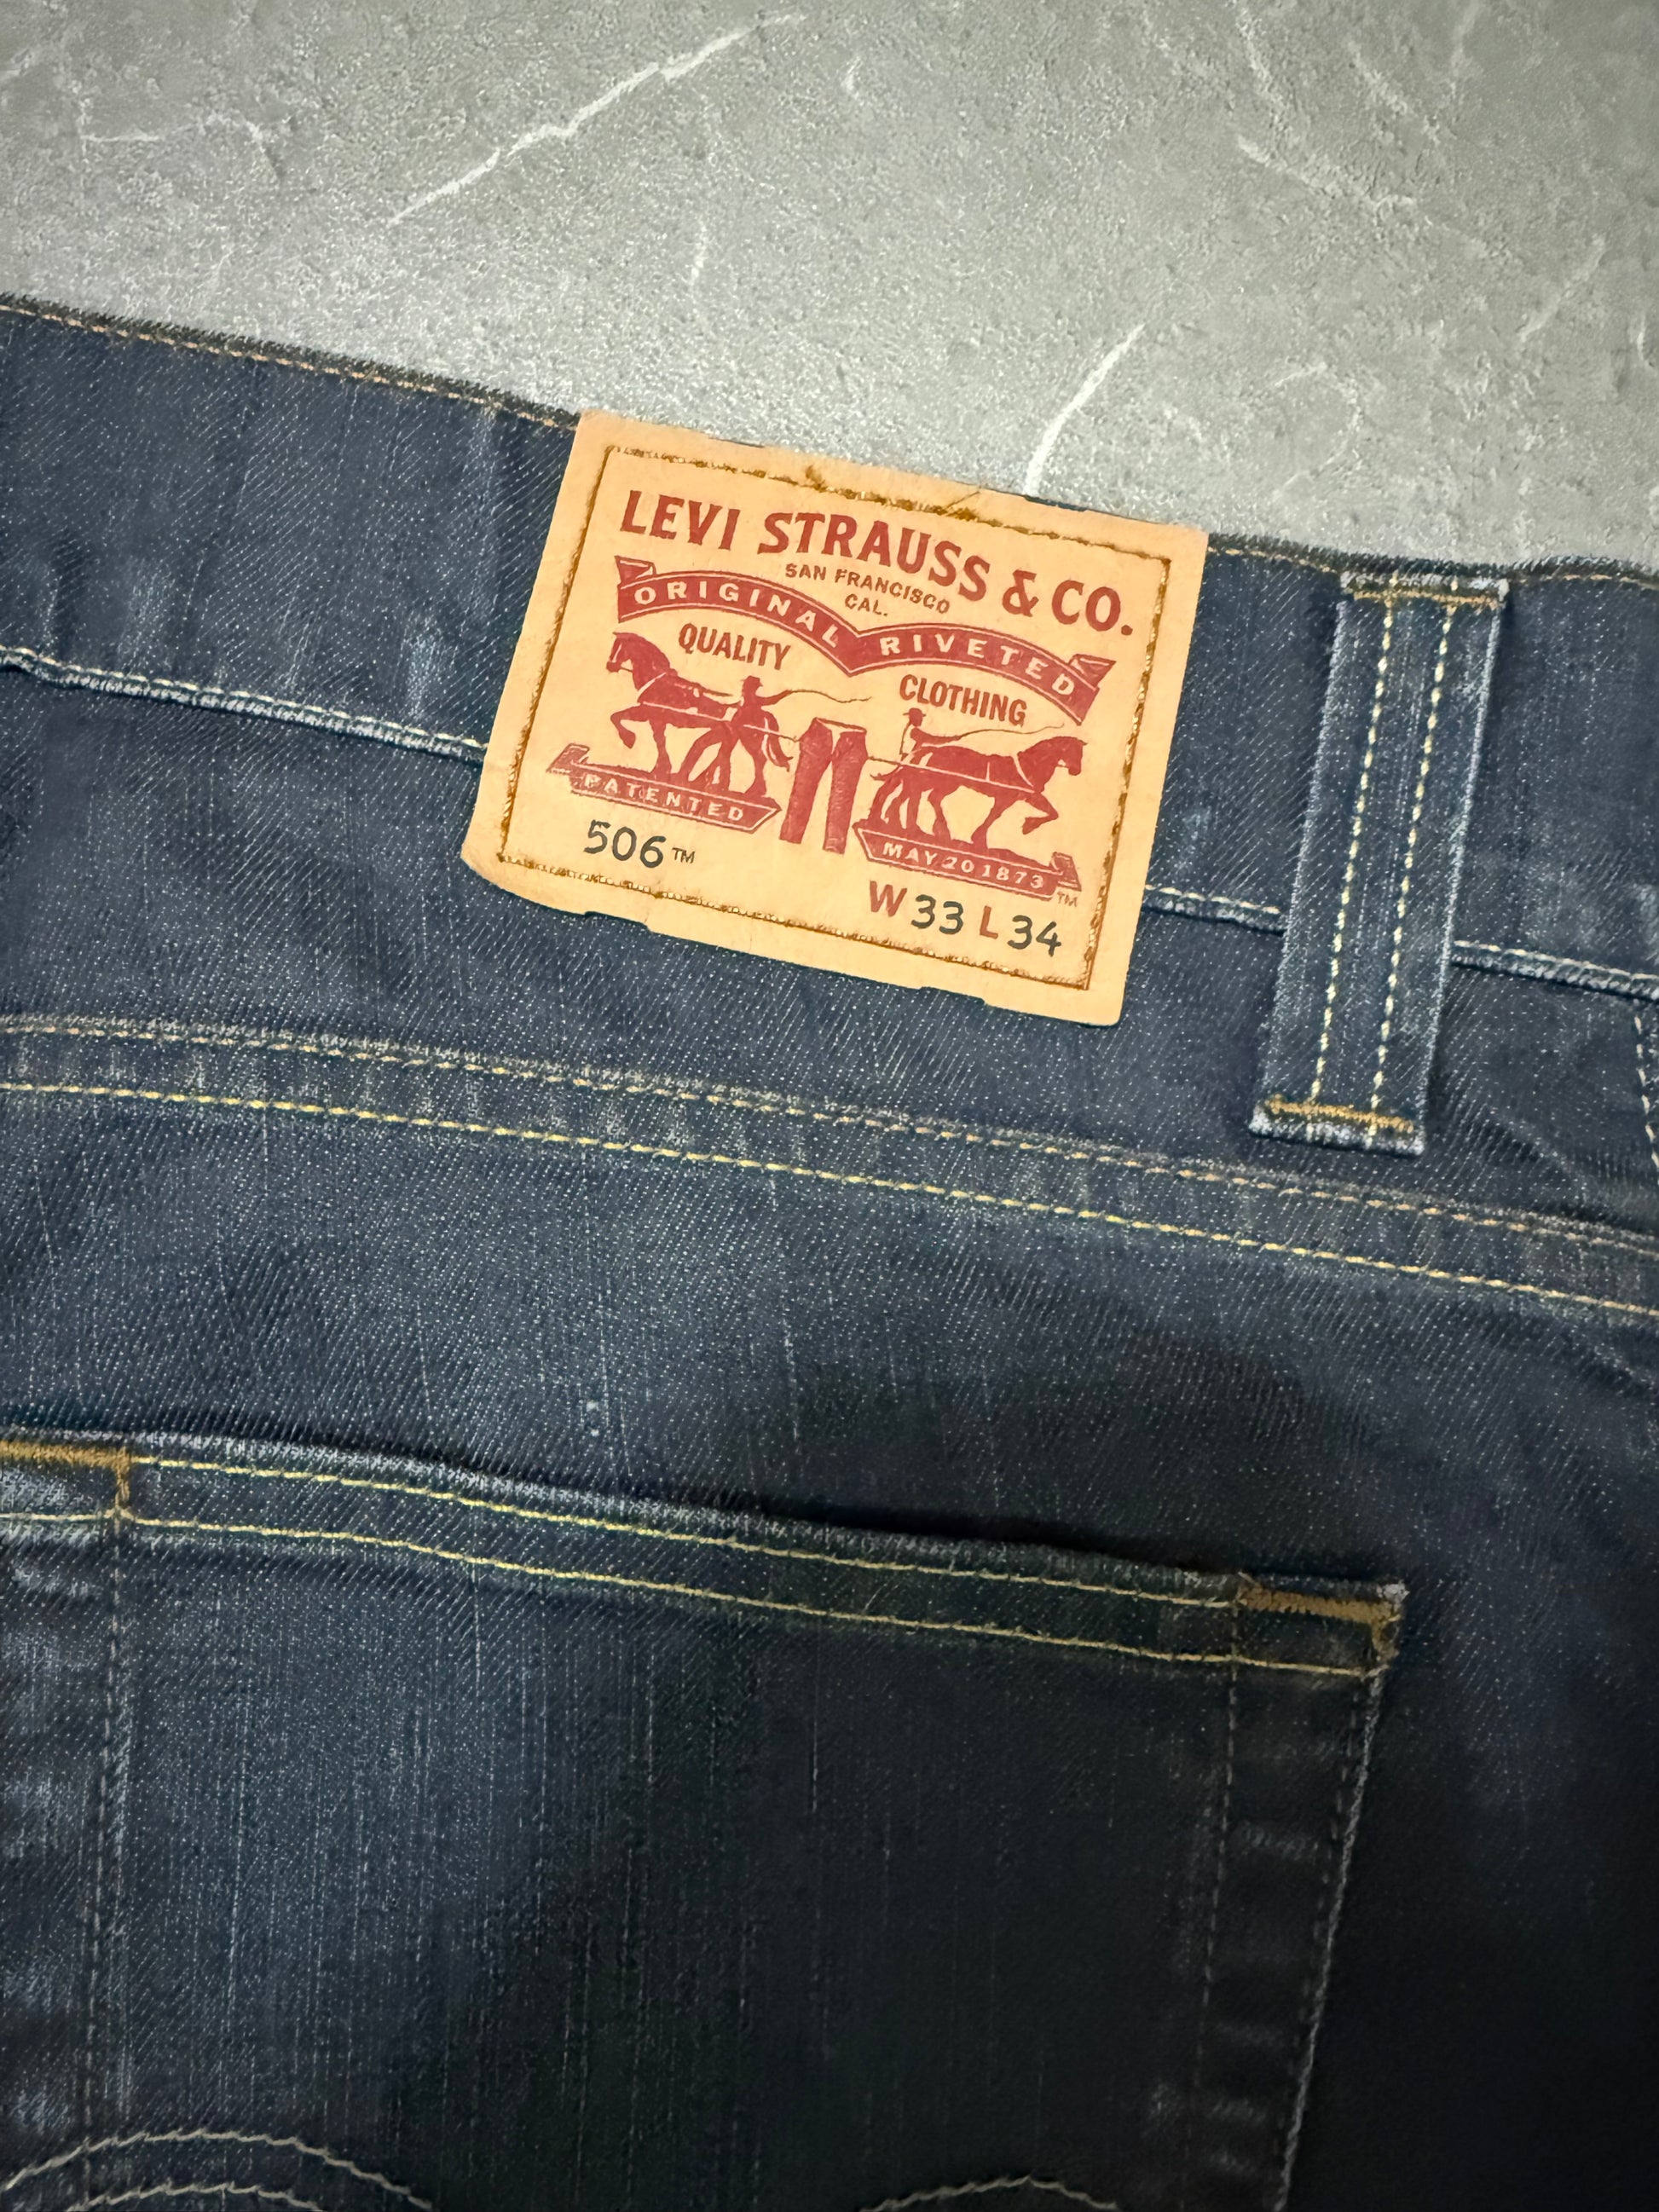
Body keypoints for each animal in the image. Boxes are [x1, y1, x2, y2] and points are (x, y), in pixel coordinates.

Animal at [605, 632, 733, 777]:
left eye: (622, 650)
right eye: (613, 647)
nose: (610, 666)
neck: (656, 681)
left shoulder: (649, 713)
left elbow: (618, 717)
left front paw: (629, 739)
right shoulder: (655, 718)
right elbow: (658, 739)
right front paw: (661, 769)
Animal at [868, 732, 1085, 850]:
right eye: (1075, 752)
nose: (1077, 771)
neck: (1029, 766)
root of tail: (935, 749)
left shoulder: (1025, 797)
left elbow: (1052, 812)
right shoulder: (1007, 798)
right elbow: (994, 816)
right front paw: (981, 840)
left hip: (947, 784)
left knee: (925, 794)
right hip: (941, 780)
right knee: (914, 789)